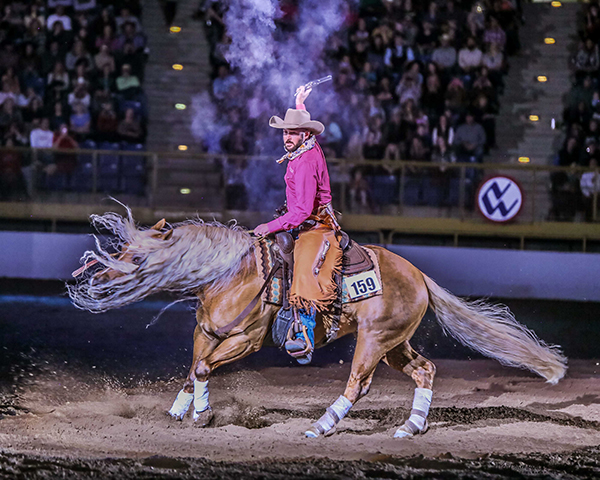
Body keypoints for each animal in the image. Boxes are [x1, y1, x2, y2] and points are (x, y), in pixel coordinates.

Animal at [69, 206, 568, 438]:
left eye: (136, 255)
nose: (95, 277)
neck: (231, 273)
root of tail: (418, 275)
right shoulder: (205, 332)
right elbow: (194, 369)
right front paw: (179, 410)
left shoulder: (246, 341)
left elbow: (206, 368)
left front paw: (204, 415)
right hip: (395, 343)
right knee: (425, 370)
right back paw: (410, 427)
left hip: (373, 341)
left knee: (357, 384)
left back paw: (321, 426)